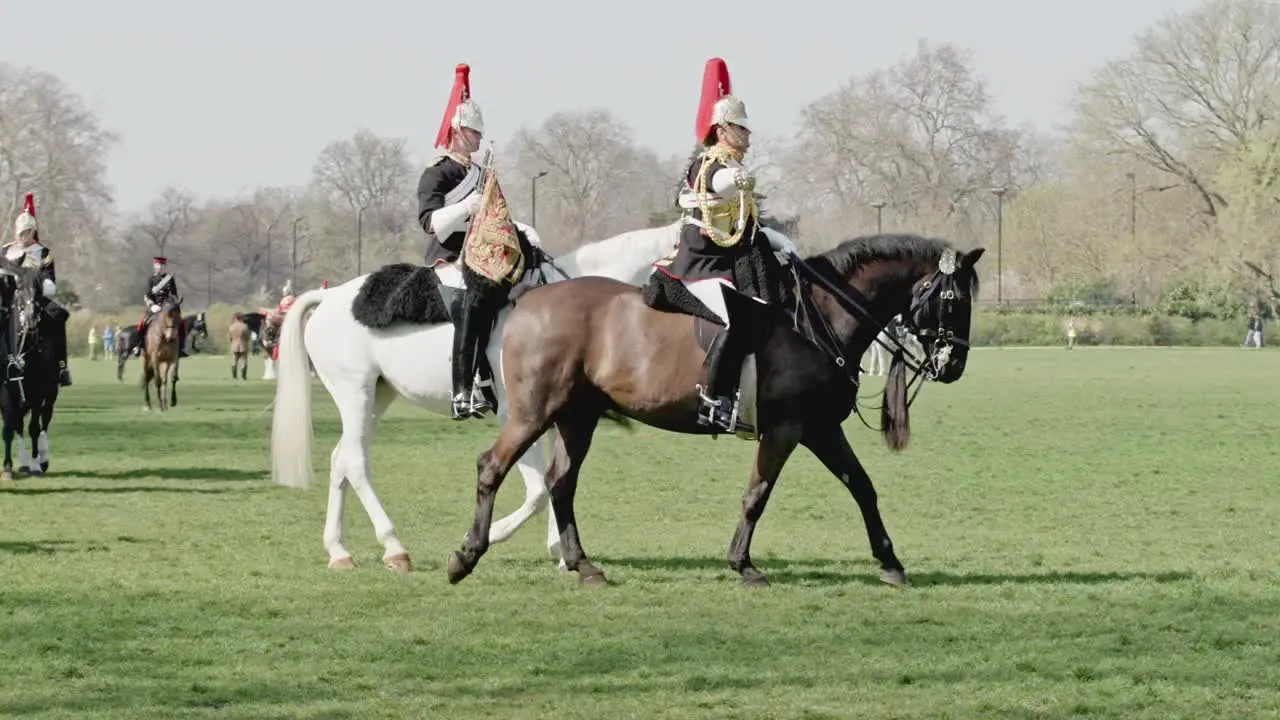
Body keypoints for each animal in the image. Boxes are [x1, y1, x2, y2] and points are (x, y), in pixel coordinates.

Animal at [0, 260, 60, 479]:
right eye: (19, 288)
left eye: (39, 288)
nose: (31, 317)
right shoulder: (6, 392)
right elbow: (9, 428)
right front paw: (8, 467)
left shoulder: (38, 391)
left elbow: (34, 427)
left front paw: (35, 464)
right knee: (18, 423)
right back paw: (24, 462)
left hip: (52, 391)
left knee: (45, 420)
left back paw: (42, 459)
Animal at [271, 221, 680, 568]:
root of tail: (328, 297)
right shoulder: (517, 417)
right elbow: (537, 492)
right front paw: (489, 536)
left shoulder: (556, 418)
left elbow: (556, 481)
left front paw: (562, 553)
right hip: (355, 392)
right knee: (355, 463)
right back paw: (394, 547)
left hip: (376, 396)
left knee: (341, 458)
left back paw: (339, 550)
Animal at [445, 233, 983, 586]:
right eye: (952, 300)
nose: (954, 364)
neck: (818, 317)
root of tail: (527, 301)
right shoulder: (786, 429)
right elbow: (757, 494)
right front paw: (743, 564)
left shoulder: (819, 428)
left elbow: (862, 487)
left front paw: (890, 562)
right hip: (534, 413)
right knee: (492, 467)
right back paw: (466, 556)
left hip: (577, 417)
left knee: (562, 483)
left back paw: (584, 565)